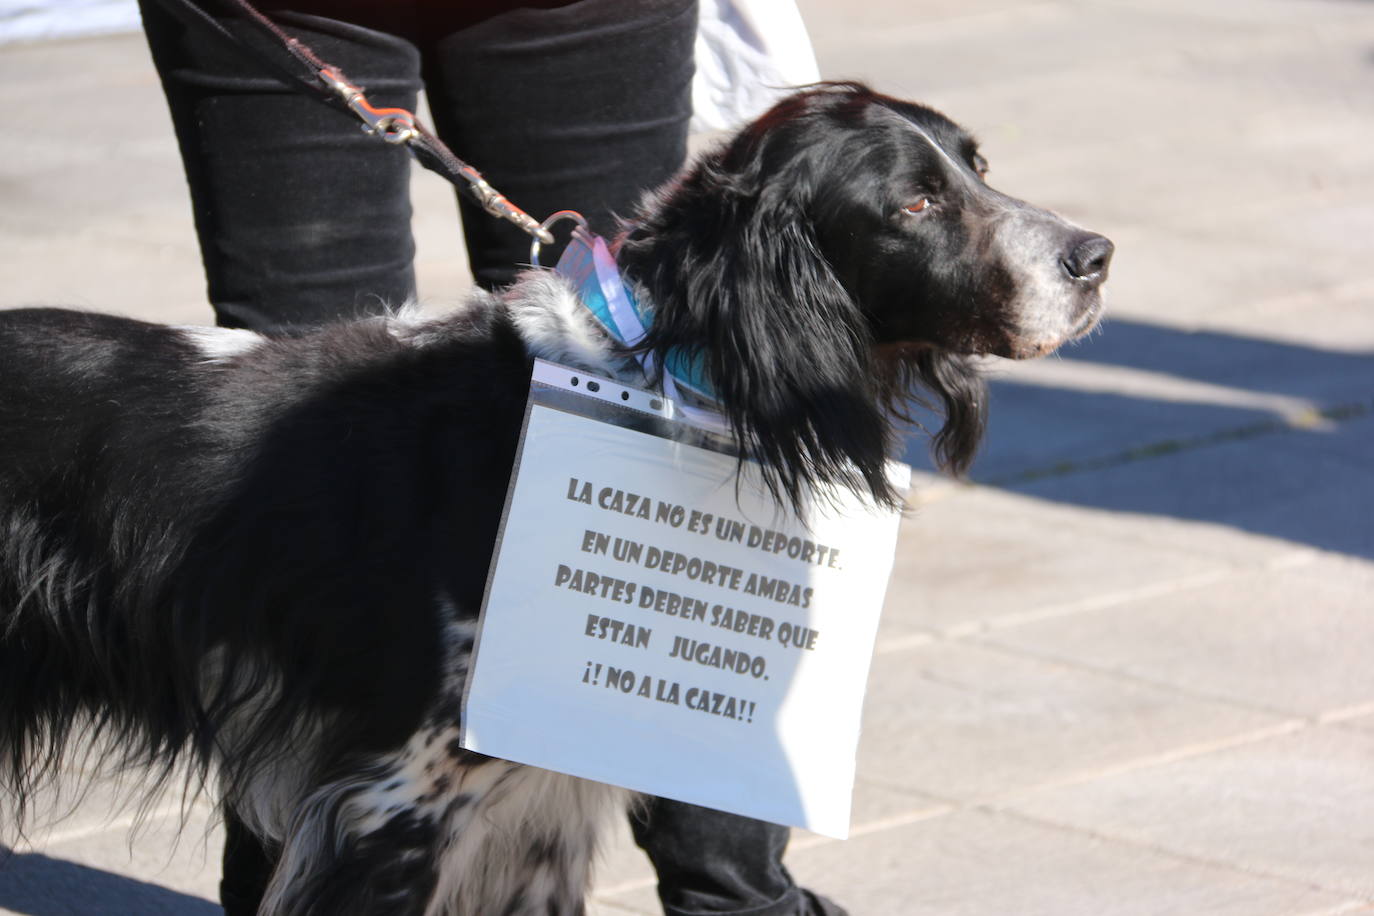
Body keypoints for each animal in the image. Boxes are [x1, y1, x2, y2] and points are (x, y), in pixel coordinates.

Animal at [0, 82, 1110, 911]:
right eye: (914, 204)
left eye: (977, 168)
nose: (1095, 258)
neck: (664, 370)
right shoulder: (390, 802)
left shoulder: (533, 812)